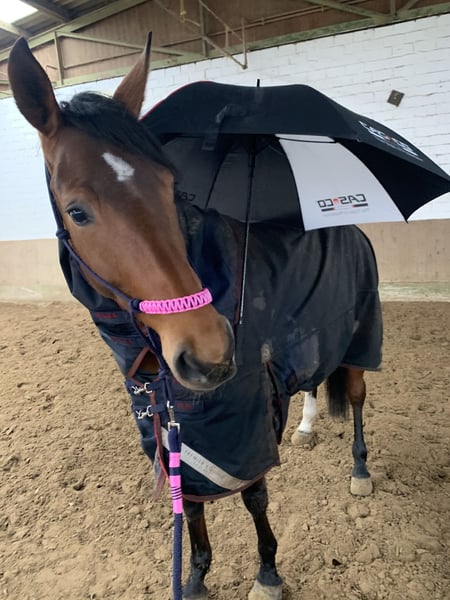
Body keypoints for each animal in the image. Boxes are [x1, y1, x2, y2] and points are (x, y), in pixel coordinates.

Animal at [8, 36, 382, 600]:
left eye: (169, 187)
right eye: (77, 211)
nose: (209, 354)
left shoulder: (244, 420)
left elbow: (253, 496)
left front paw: (267, 572)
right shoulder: (172, 424)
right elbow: (191, 503)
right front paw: (197, 575)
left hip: (360, 338)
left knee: (357, 397)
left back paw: (359, 470)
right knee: (314, 381)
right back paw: (306, 427)